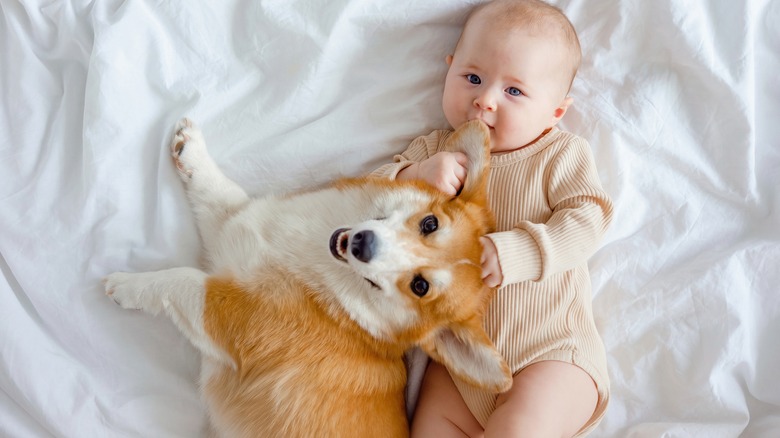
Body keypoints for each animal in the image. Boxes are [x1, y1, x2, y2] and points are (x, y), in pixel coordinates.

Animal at [105, 118, 512, 436]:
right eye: (430, 223)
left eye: (420, 286)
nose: (362, 245)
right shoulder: (235, 225)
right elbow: (218, 191)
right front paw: (190, 149)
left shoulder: (231, 318)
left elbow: (183, 281)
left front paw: (126, 286)